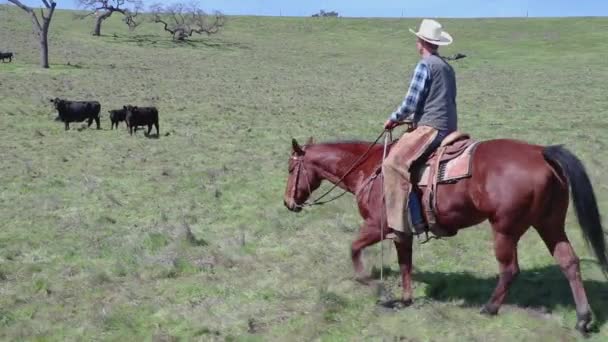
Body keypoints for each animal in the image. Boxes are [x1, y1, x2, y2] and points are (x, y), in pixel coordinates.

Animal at [284, 135, 608, 332]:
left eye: (289, 168)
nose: (288, 202)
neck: (369, 170)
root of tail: (541, 152)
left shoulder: (378, 226)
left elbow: (353, 248)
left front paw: (371, 283)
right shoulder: (402, 233)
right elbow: (405, 264)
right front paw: (404, 300)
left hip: (504, 229)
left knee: (510, 269)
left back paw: (489, 308)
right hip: (550, 224)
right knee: (569, 262)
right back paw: (583, 319)